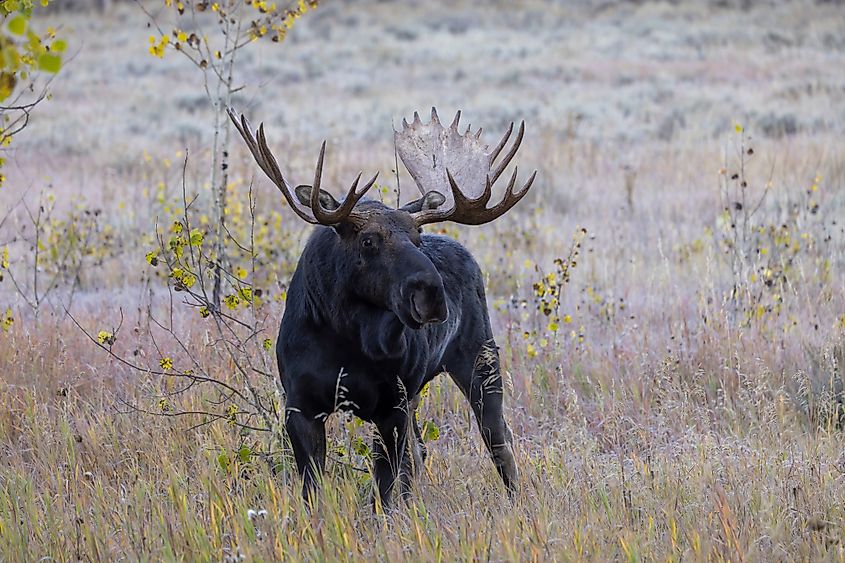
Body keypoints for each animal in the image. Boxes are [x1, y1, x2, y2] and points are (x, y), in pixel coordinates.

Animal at [229, 107, 536, 509]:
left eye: (417, 238)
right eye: (369, 240)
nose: (432, 294)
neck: (348, 339)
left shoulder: (391, 406)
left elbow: (386, 489)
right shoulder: (300, 404)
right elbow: (314, 489)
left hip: (479, 360)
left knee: (499, 441)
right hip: (421, 391)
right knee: (422, 452)